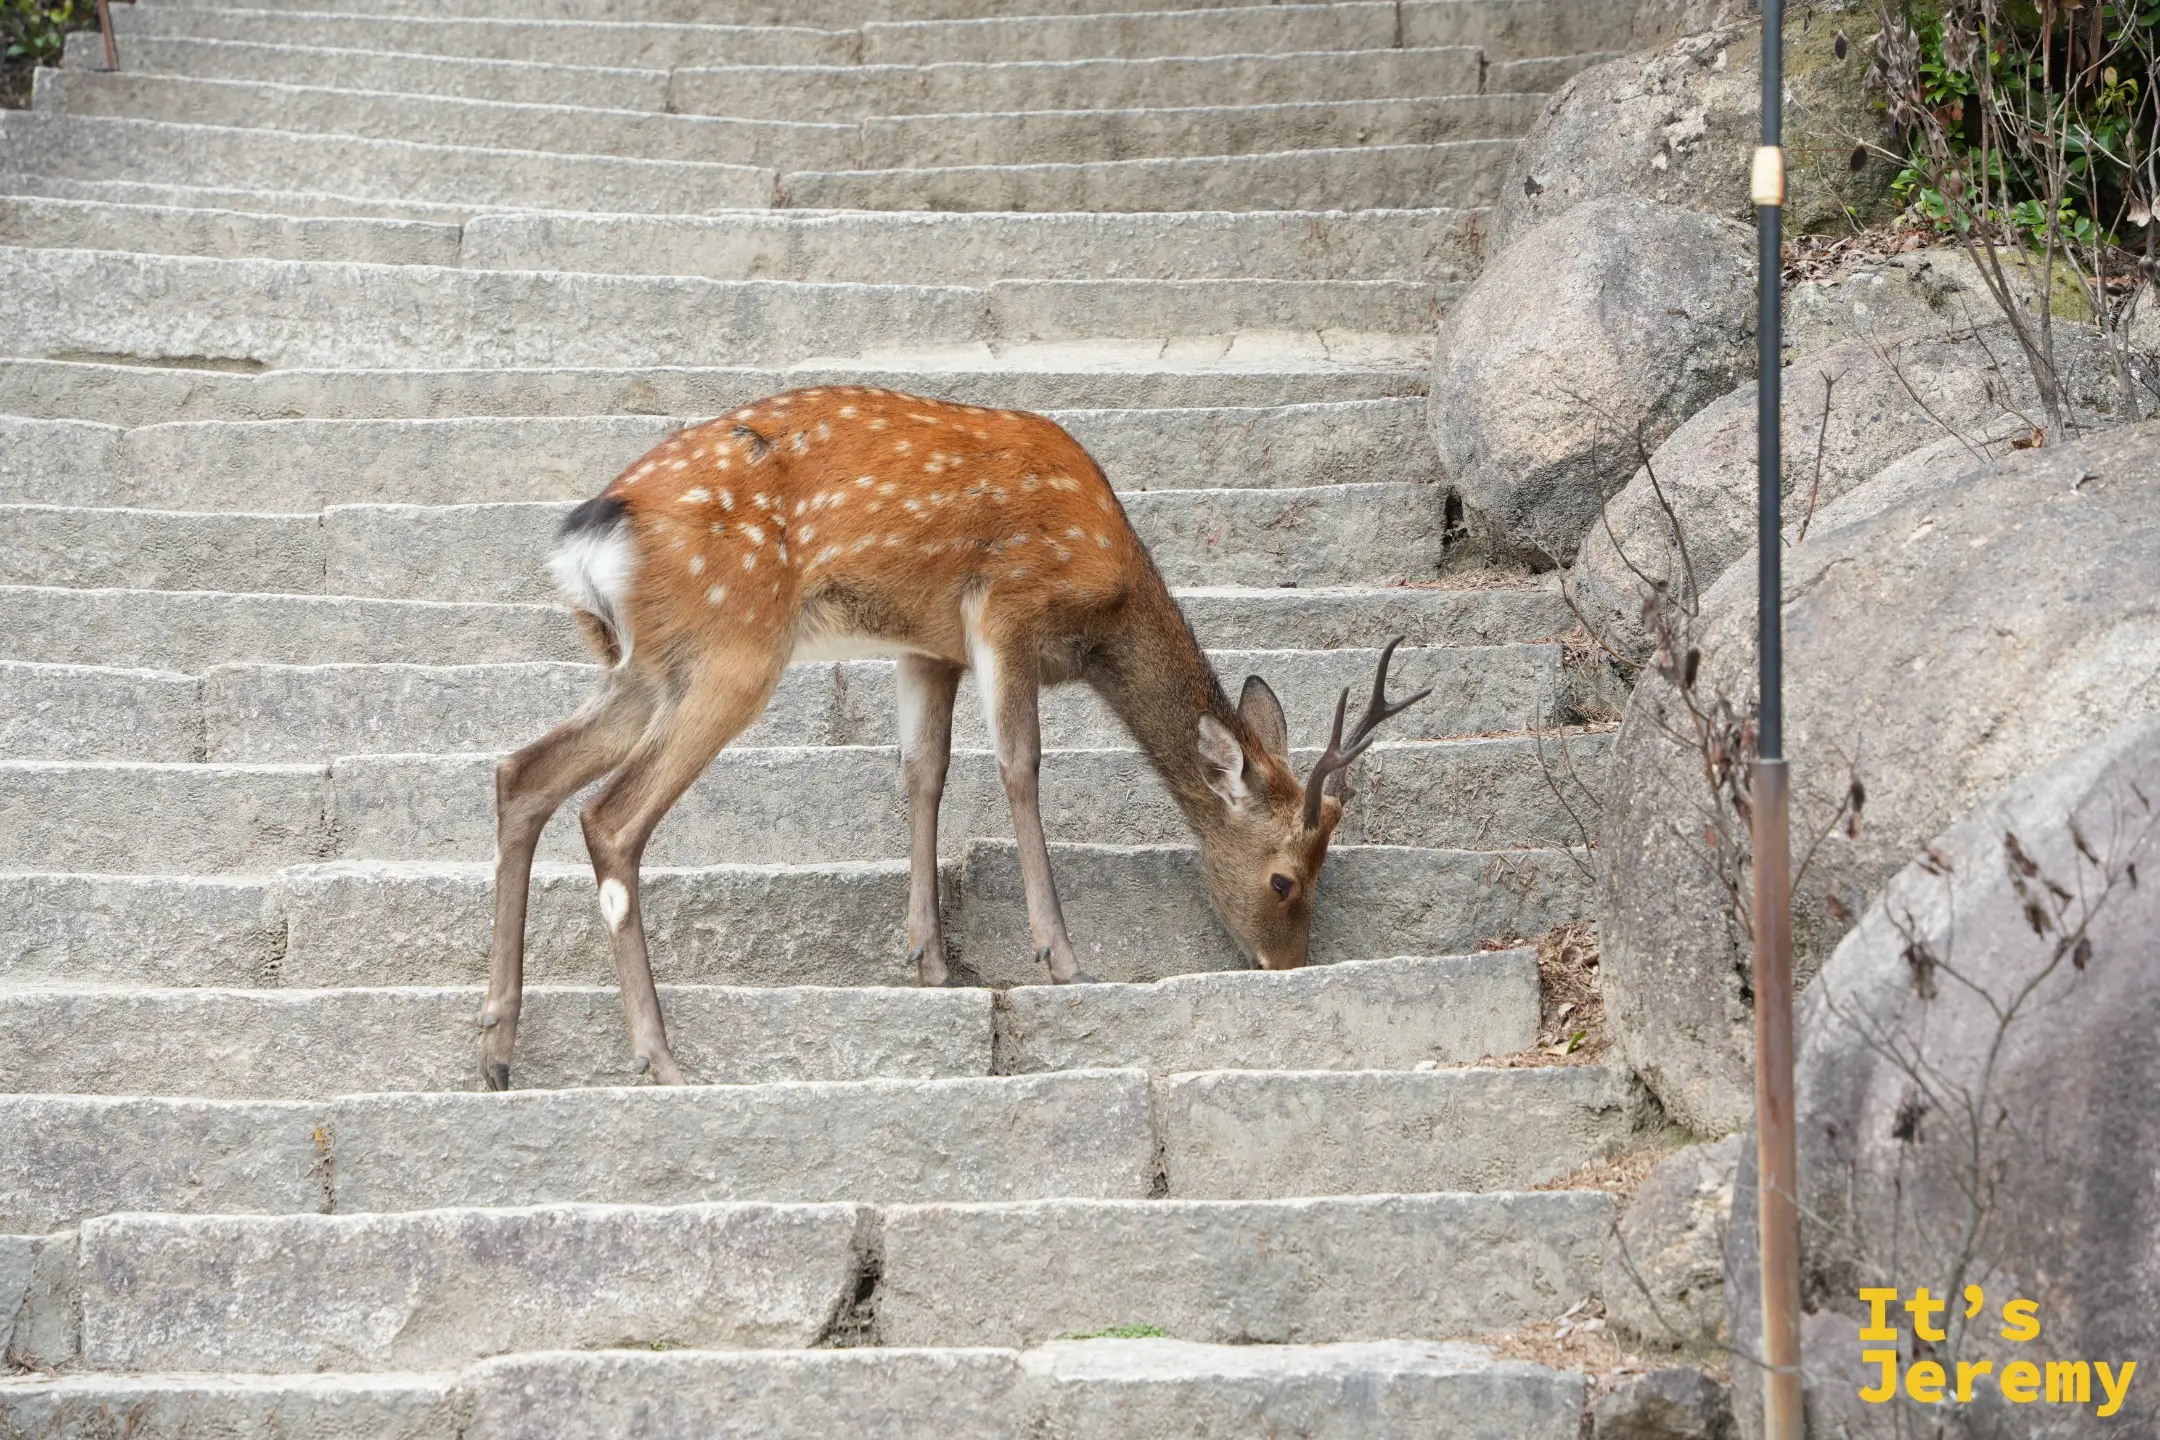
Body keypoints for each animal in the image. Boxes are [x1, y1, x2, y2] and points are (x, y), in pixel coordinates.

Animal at [478, 386, 1428, 1089]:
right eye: (1283, 880)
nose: (1288, 967)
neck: (1103, 609)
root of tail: (591, 534)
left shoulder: (926, 646)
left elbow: (922, 773)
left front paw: (930, 960)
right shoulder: (1006, 604)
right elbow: (1019, 766)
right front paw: (1061, 956)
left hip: (646, 666)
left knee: (522, 772)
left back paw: (496, 1044)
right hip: (733, 647)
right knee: (610, 816)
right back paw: (660, 1056)